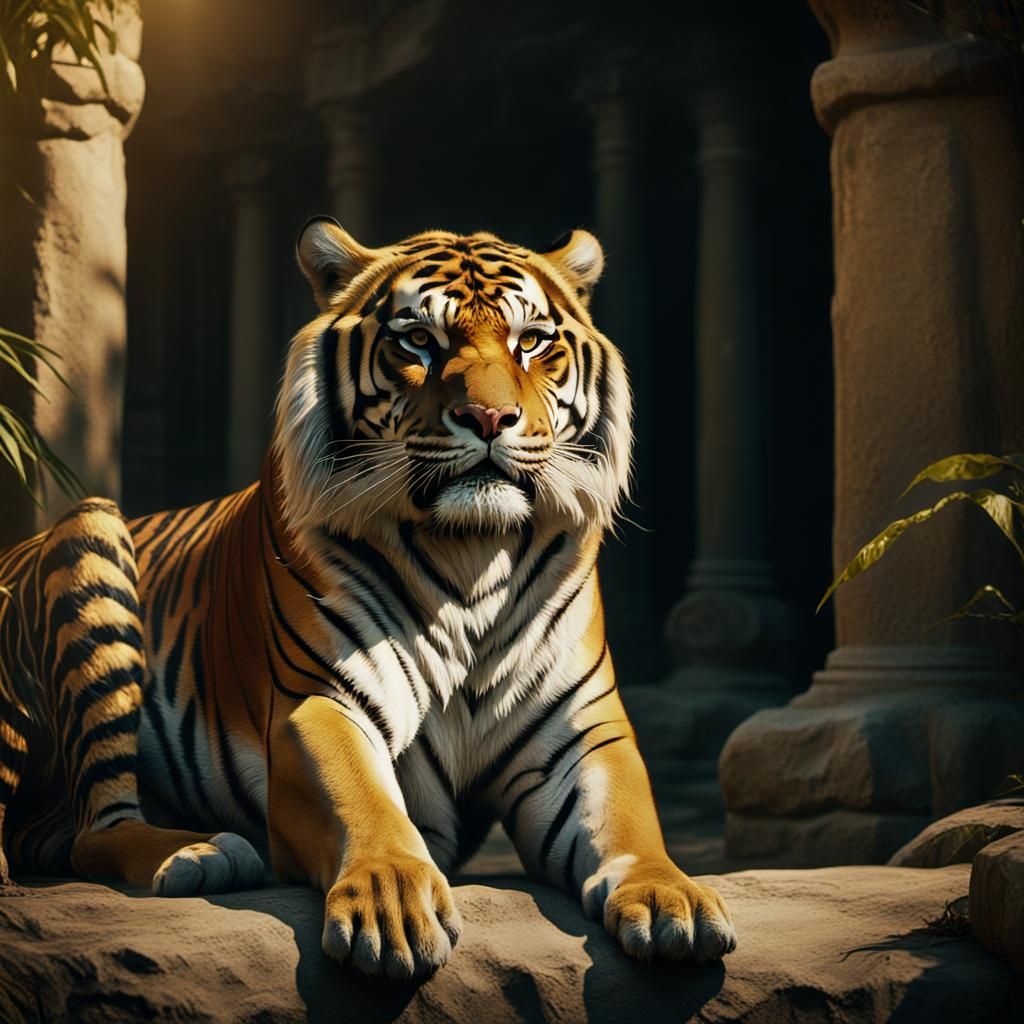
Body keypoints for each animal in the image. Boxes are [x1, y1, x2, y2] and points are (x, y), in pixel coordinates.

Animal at [0, 218, 736, 977]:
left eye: (531, 341)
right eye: (418, 341)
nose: (489, 416)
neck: (472, 555)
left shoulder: (582, 730)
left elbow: (628, 823)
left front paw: (672, 899)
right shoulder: (320, 703)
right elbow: (363, 802)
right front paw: (392, 906)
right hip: (90, 529)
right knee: (94, 827)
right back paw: (204, 853)